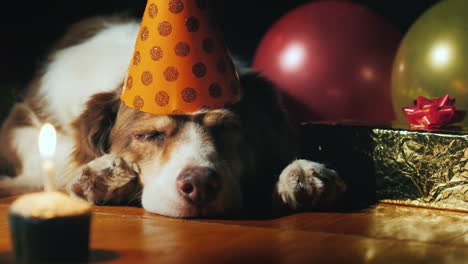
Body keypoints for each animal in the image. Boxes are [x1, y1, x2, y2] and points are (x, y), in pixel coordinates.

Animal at [0, 17, 344, 219]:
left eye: (227, 130)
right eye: (150, 135)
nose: (201, 184)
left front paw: (301, 172)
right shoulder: (21, 121)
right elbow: (60, 155)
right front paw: (104, 173)